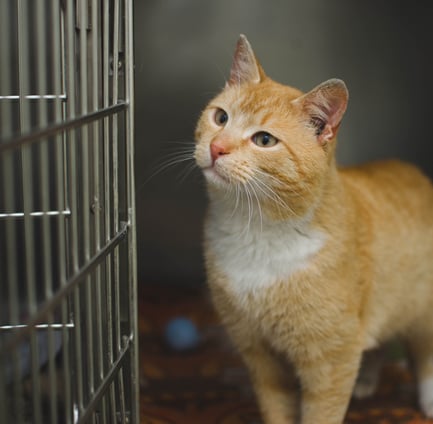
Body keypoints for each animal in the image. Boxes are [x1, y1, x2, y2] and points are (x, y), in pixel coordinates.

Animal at [194, 34, 432, 422]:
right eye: (220, 117)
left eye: (264, 140)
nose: (216, 147)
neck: (257, 231)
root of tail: (411, 169)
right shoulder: (258, 353)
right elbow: (276, 408)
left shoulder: (332, 359)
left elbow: (321, 412)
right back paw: (367, 381)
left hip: (422, 309)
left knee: (425, 353)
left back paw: (428, 398)